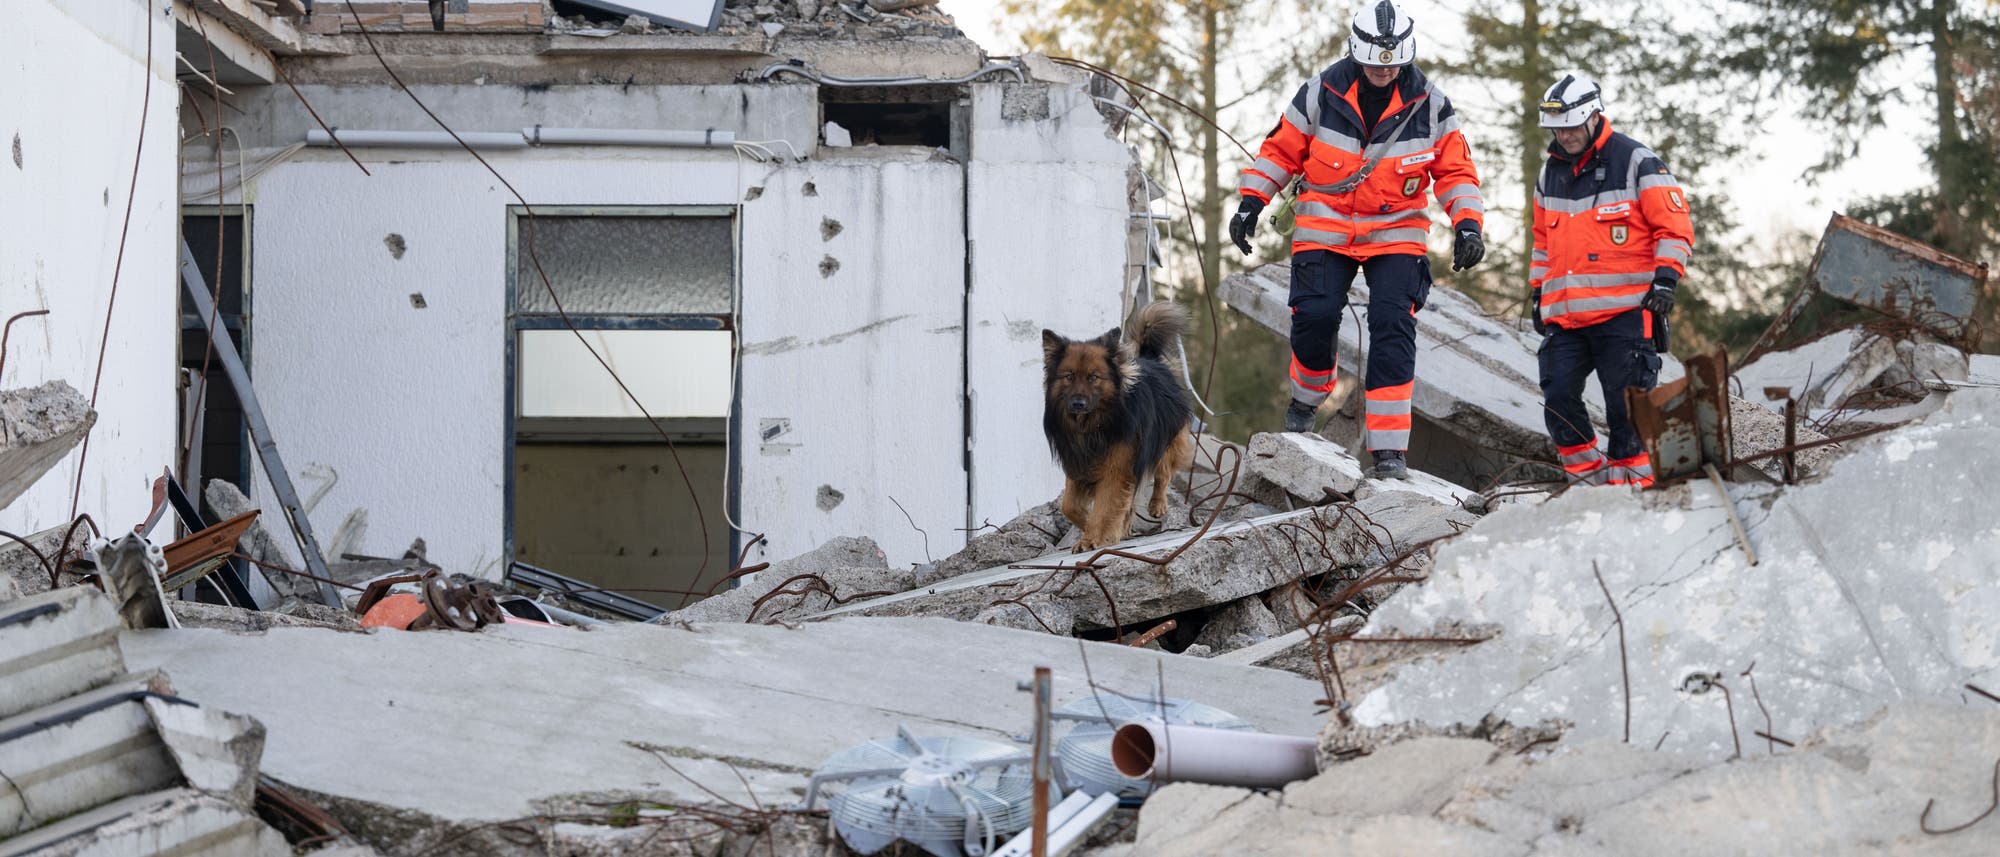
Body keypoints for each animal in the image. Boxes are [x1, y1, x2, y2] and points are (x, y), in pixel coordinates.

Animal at [1048, 304, 1184, 552]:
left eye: (1094, 378)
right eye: (1069, 377)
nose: (1078, 403)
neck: (1092, 425)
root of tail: (1150, 359)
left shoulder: (1118, 465)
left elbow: (1106, 504)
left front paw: (1093, 538)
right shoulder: (1078, 462)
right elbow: (1069, 506)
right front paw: (1091, 527)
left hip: (1165, 437)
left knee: (1163, 471)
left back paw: (1157, 505)